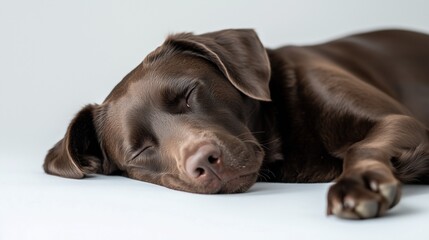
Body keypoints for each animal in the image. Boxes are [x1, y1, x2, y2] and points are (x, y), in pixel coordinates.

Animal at [43, 28, 428, 219]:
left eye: (188, 94)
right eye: (140, 150)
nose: (206, 162)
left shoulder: (401, 122)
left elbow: (361, 146)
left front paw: (359, 185)